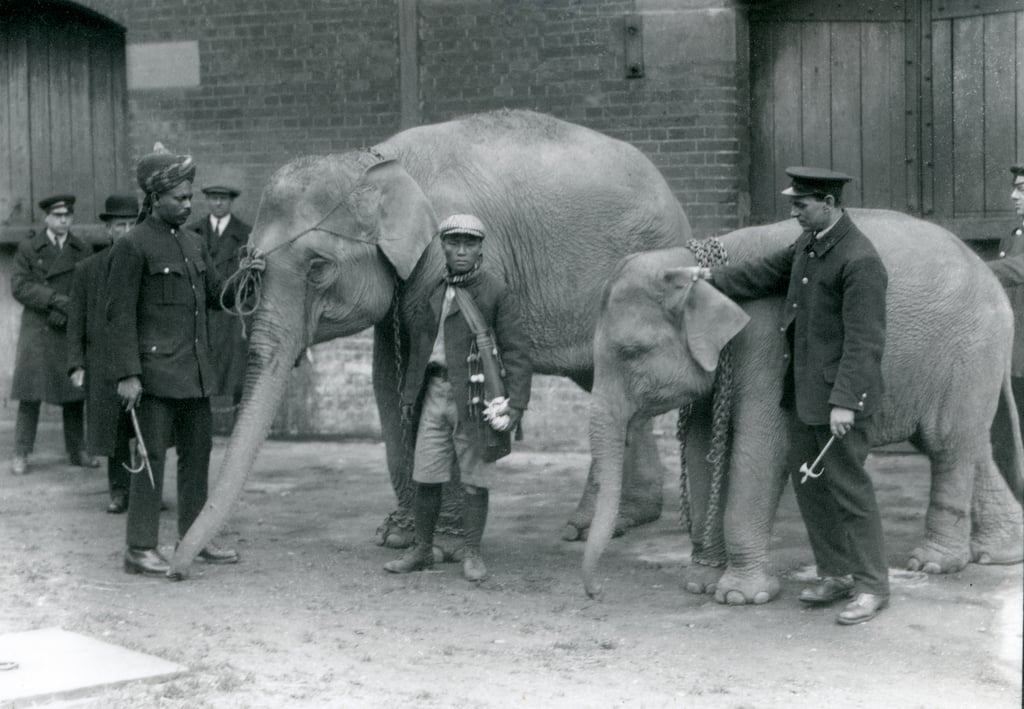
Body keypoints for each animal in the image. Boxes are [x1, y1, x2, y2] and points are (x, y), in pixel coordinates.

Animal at [169, 109, 687, 578]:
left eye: (318, 268)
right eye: (248, 259)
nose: (178, 570)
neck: (375, 162)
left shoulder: (452, 256)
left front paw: (446, 547)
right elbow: (389, 379)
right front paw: (396, 536)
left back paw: (583, 525)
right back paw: (626, 518)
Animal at [581, 208, 1024, 603]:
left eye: (632, 352)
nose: (596, 592)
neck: (683, 259)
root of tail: (991, 276)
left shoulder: (766, 347)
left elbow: (762, 448)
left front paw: (740, 597)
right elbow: (701, 449)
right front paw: (699, 584)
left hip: (968, 351)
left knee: (947, 445)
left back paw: (933, 564)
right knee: (969, 444)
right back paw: (999, 554)